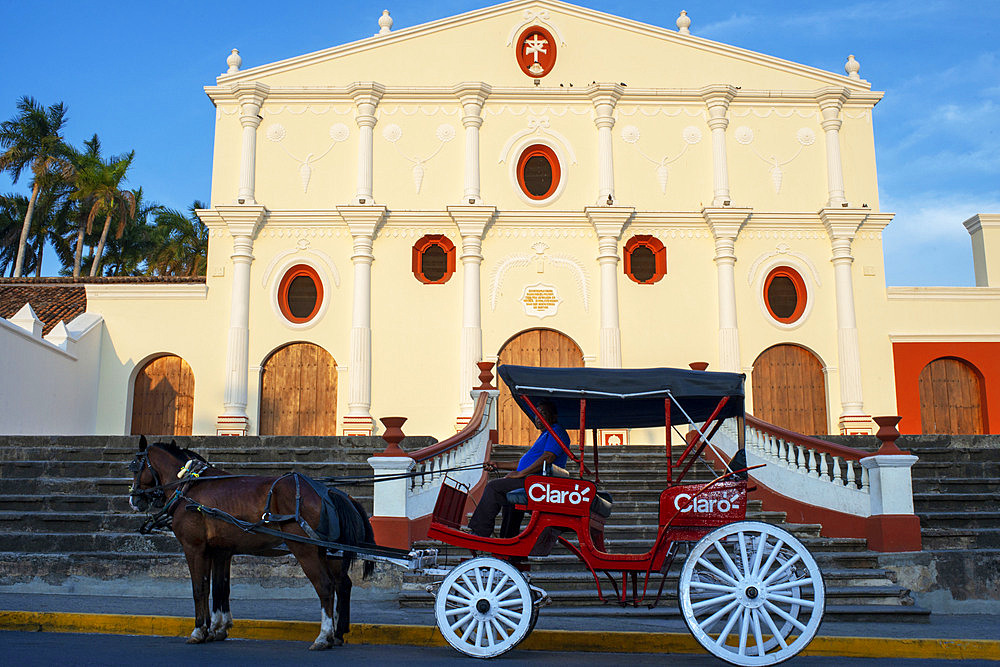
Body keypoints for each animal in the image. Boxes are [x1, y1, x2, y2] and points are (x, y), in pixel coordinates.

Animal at [126, 436, 376, 648]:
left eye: (135, 466)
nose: (133, 499)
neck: (189, 486)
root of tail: (327, 491)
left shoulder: (194, 547)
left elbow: (200, 587)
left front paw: (199, 631)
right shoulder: (221, 550)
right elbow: (220, 587)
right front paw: (218, 628)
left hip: (306, 549)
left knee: (326, 586)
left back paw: (324, 636)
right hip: (328, 552)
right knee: (342, 585)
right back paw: (337, 633)